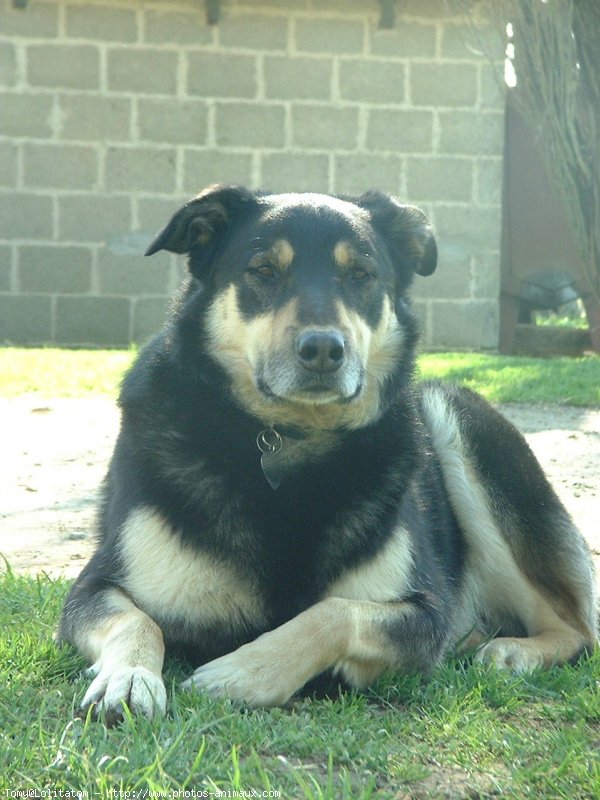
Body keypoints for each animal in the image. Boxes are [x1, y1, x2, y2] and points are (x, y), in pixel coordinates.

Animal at [58, 184, 596, 720]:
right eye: (264, 271)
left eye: (360, 275)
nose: (322, 349)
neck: (288, 439)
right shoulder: (93, 588)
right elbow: (138, 621)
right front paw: (129, 678)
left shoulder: (427, 610)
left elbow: (337, 612)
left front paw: (243, 671)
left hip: (455, 414)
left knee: (576, 627)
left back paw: (512, 652)